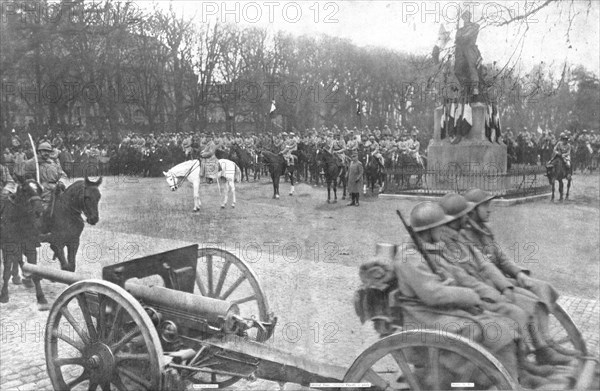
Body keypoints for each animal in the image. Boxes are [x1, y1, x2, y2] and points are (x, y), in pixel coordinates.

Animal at [0, 179, 48, 310]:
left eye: (40, 190)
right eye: (25, 191)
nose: (39, 210)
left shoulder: (30, 247)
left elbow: (35, 273)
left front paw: (41, 298)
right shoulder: (8, 247)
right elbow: (6, 272)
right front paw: (4, 295)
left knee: (17, 258)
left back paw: (18, 277)